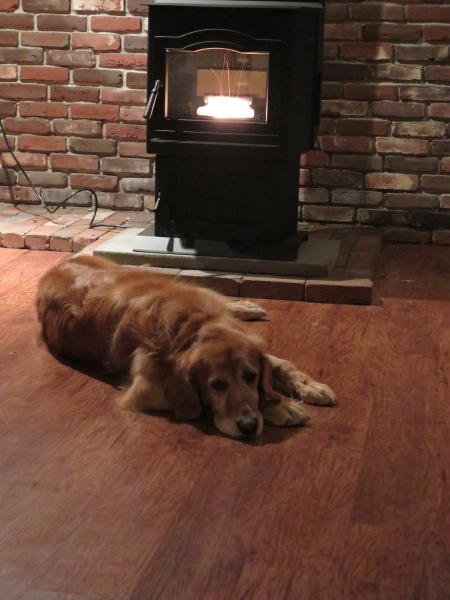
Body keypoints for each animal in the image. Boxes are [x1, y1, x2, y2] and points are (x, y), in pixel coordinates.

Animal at [36, 256, 336, 438]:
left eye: (250, 376)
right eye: (216, 385)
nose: (249, 426)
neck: (192, 326)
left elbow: (280, 365)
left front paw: (307, 386)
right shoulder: (146, 389)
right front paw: (280, 406)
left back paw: (245, 307)